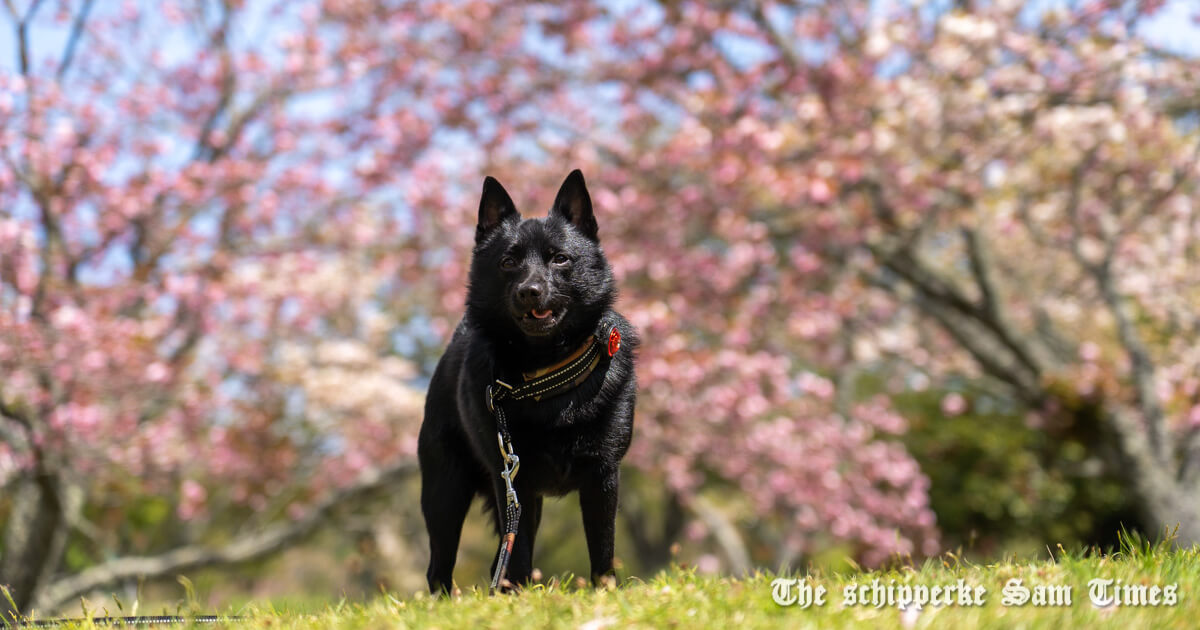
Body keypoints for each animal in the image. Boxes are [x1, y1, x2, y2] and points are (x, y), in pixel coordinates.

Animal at [417, 169, 638, 592]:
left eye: (560, 258)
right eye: (507, 261)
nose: (529, 291)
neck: (547, 372)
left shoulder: (603, 475)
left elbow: (603, 549)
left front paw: (605, 593)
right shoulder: (513, 482)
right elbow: (516, 556)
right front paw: (520, 597)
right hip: (446, 492)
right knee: (439, 567)